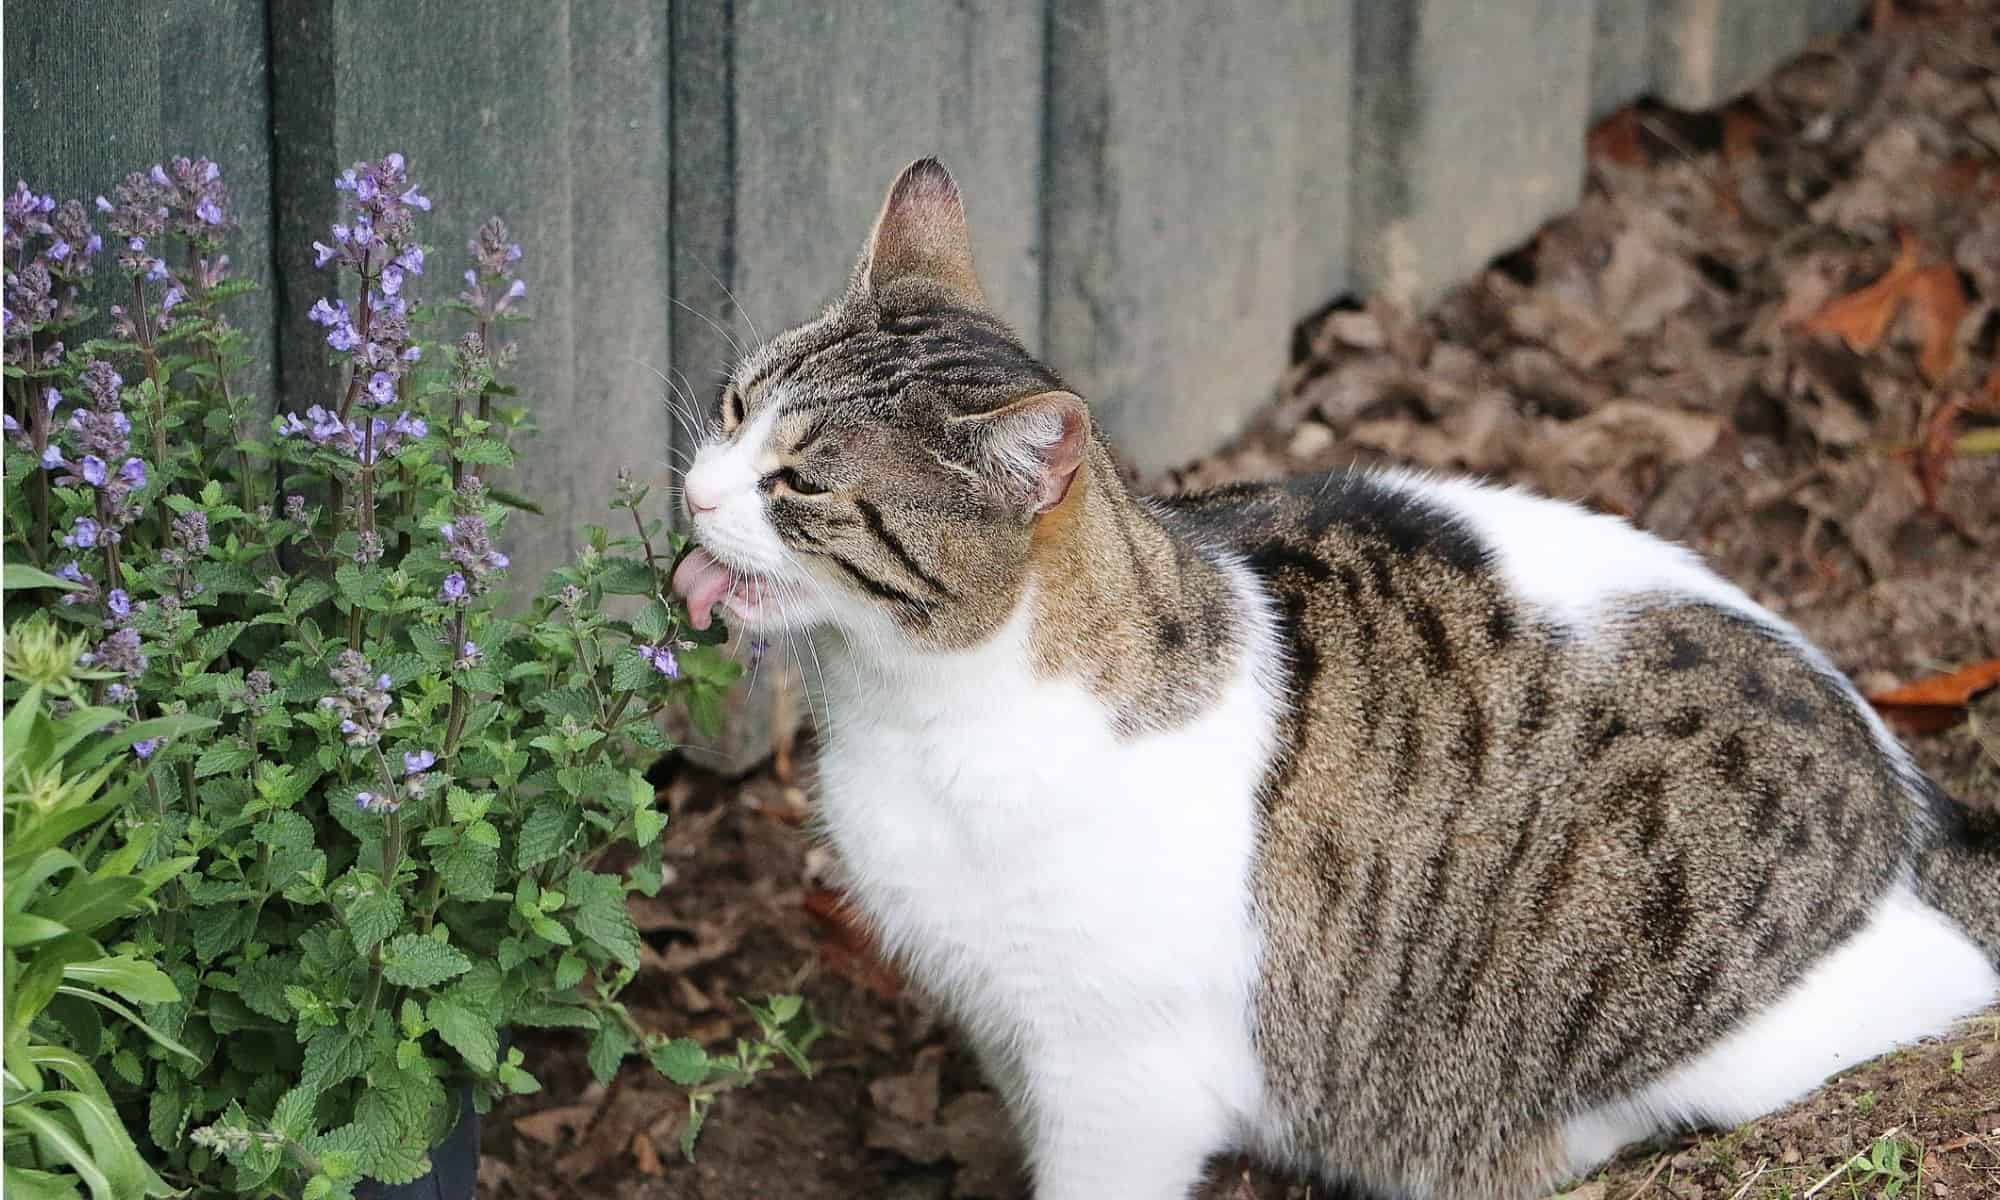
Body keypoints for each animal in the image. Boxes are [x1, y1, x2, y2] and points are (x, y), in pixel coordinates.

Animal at [676, 162, 2000, 1200]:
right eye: (734, 407)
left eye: (799, 484)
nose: (692, 494)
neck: (907, 707)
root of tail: (1912, 803)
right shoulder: (1009, 1021)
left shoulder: (1120, 1074)